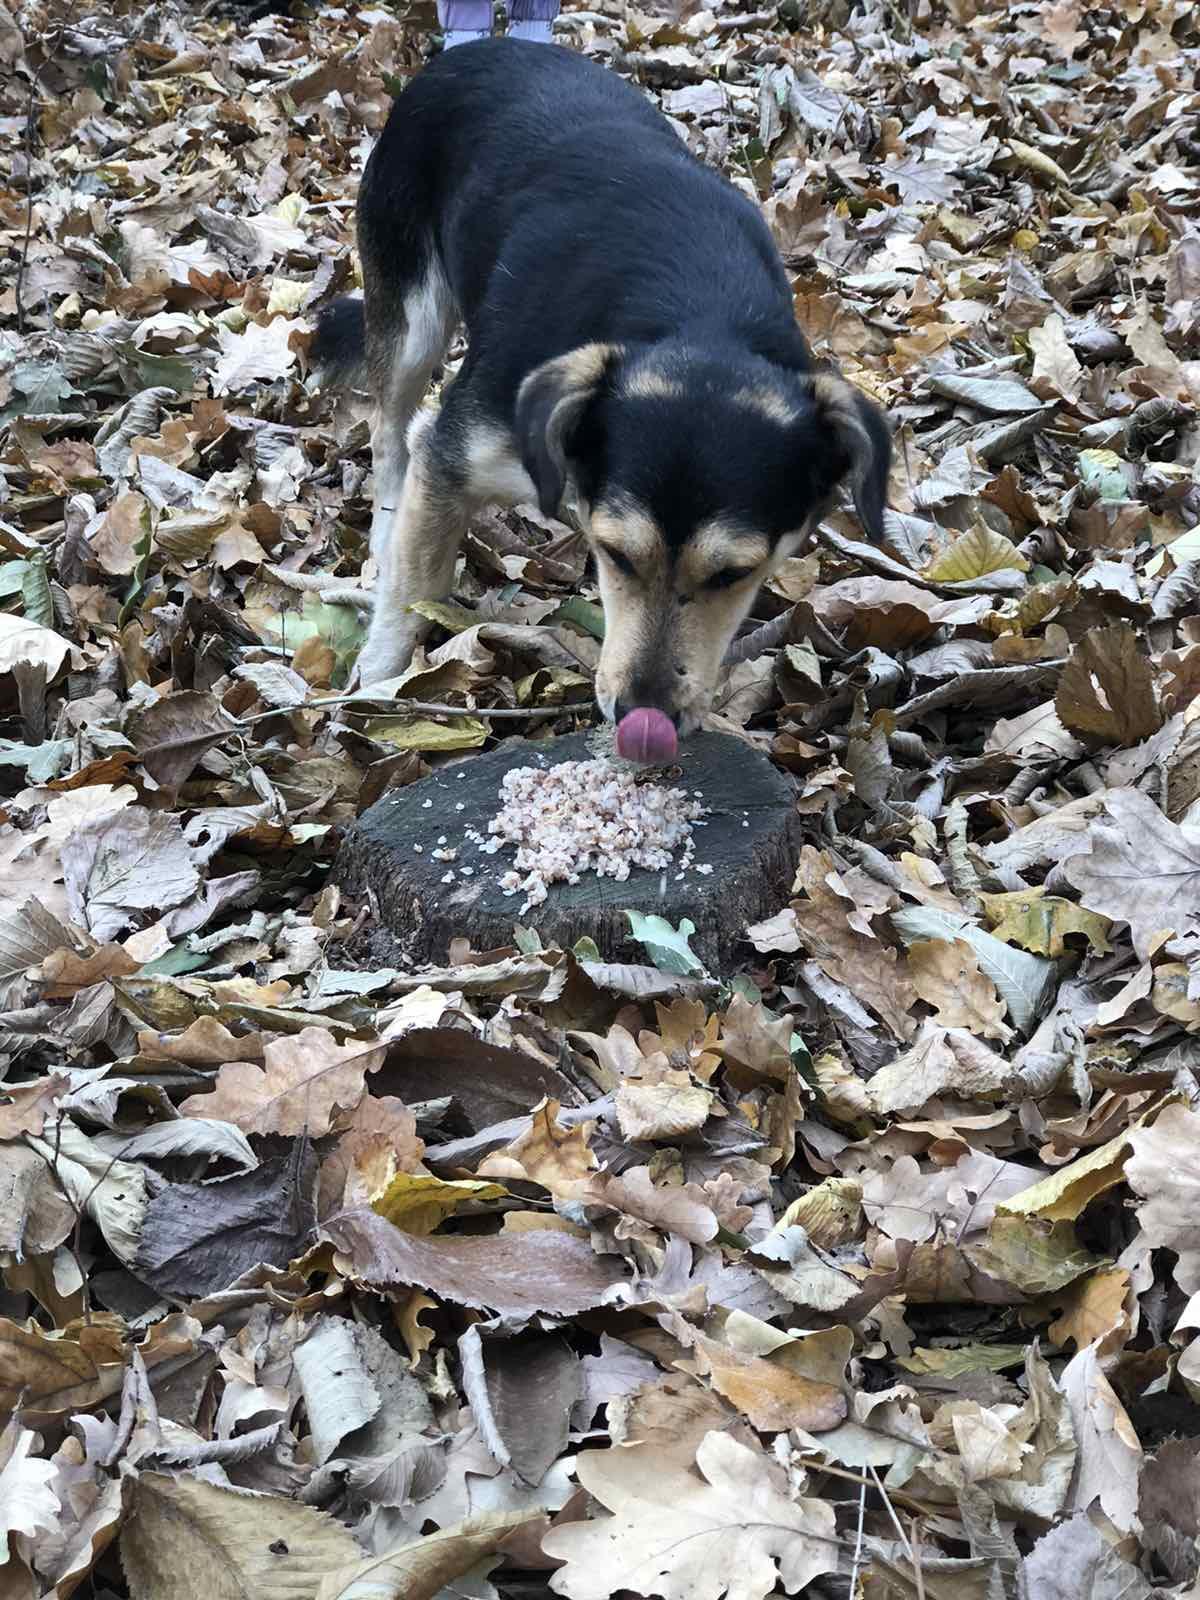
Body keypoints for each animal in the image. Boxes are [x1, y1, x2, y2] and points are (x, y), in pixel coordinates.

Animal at [314, 37, 890, 761]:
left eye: (735, 575)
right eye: (615, 554)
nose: (645, 718)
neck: (700, 318)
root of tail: (475, 47)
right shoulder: (455, 452)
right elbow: (414, 583)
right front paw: (378, 686)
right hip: (410, 308)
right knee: (392, 433)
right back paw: (383, 532)